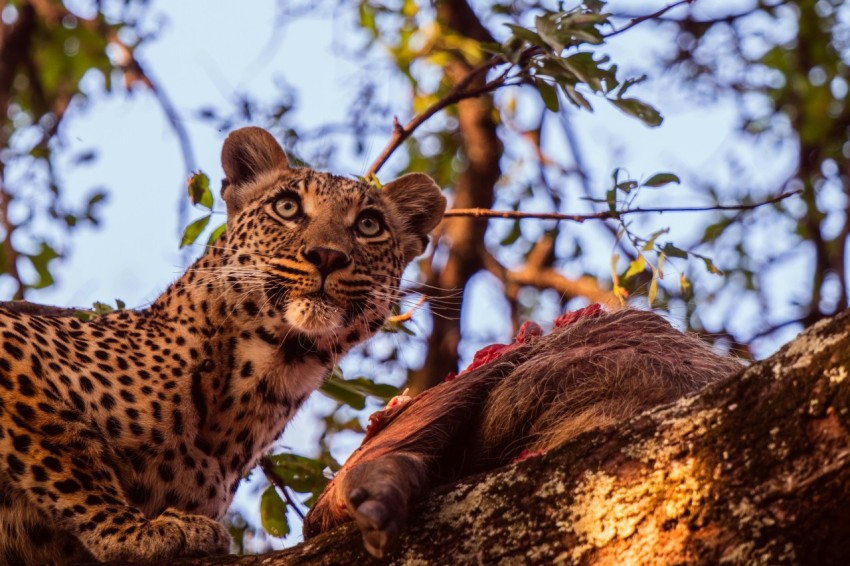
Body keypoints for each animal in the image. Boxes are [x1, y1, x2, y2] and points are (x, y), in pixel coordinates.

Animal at [0, 126, 448, 564]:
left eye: (369, 226)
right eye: (287, 207)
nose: (326, 255)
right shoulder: (16, 350)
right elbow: (65, 449)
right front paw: (133, 531)